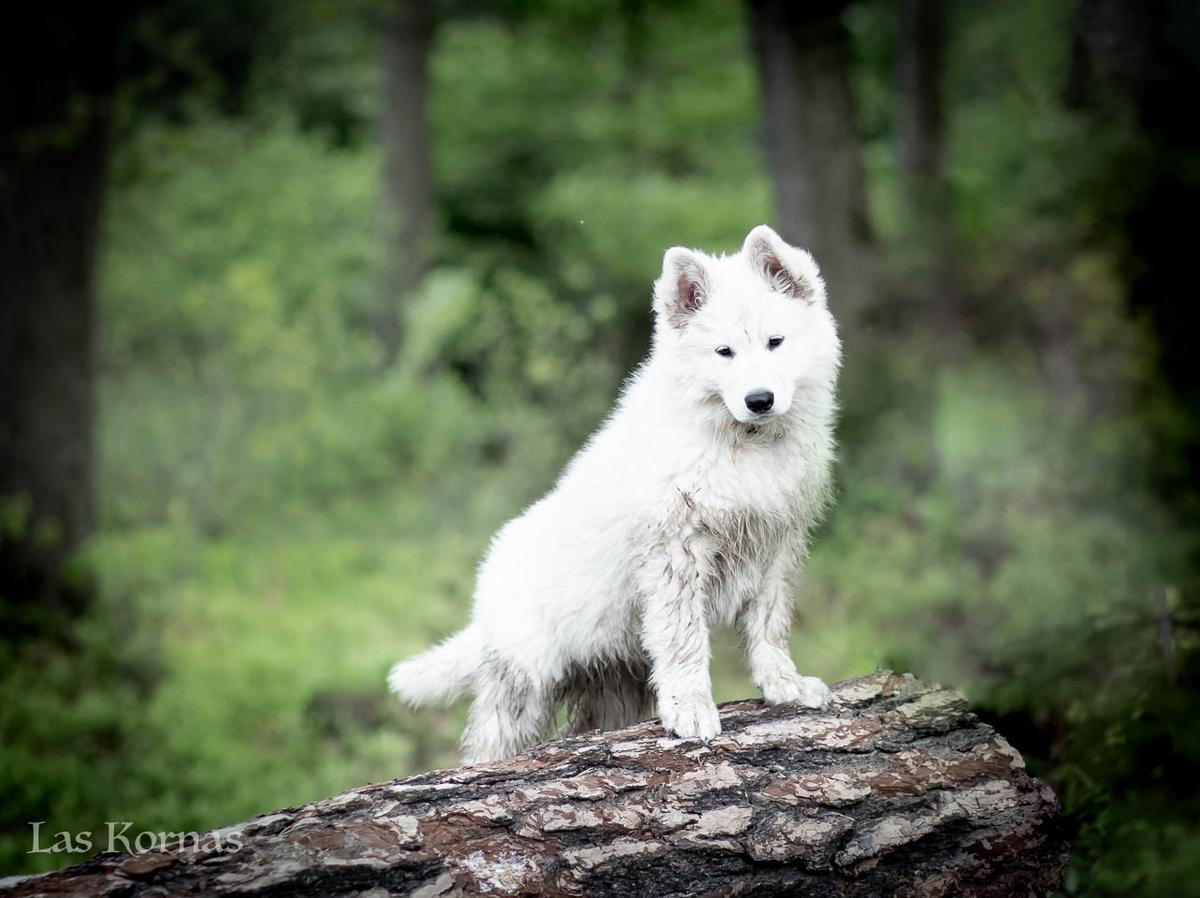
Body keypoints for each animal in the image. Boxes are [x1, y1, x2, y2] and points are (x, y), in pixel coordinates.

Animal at [388, 225, 840, 763]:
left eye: (775, 342)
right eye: (724, 352)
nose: (759, 400)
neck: (743, 443)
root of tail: (482, 610)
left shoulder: (777, 545)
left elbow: (770, 626)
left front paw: (785, 686)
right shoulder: (676, 550)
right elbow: (685, 639)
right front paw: (692, 710)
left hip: (613, 687)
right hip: (523, 687)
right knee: (486, 744)